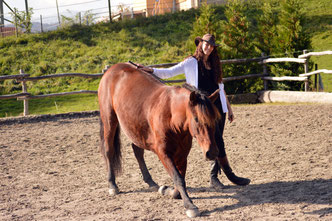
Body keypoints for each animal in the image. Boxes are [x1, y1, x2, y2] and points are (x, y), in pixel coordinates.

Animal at [98, 62, 220, 218]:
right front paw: (190, 206)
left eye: (215, 119)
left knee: (137, 150)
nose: (213, 152)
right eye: (197, 119)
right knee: (109, 151)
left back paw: (150, 181)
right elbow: (178, 178)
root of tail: (112, 69)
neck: (171, 116)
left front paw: (167, 190)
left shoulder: (182, 154)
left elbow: (180, 179)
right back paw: (112, 184)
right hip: (109, 120)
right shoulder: (163, 153)